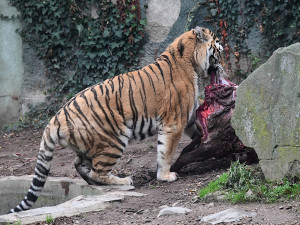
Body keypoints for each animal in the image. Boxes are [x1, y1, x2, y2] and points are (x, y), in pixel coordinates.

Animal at [9, 26, 224, 213]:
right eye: (219, 47)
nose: (223, 66)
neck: (190, 62)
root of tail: (55, 118)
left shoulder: (187, 118)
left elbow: (197, 133)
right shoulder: (174, 122)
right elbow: (166, 152)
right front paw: (165, 176)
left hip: (89, 144)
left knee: (79, 164)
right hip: (114, 140)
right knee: (97, 171)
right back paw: (123, 180)